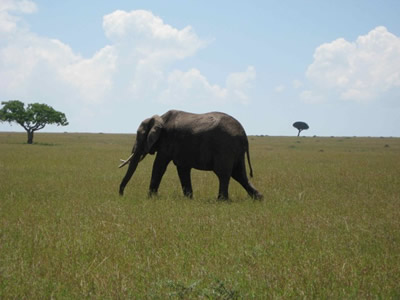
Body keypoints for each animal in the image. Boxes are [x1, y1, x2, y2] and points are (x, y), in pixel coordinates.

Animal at [119, 109, 262, 200]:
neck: (160, 118)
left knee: (223, 174)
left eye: (140, 136)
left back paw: (221, 200)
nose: (121, 195)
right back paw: (259, 198)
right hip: (236, 151)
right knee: (239, 174)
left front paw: (150, 198)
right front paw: (189, 199)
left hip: (225, 148)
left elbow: (159, 166)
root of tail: (244, 134)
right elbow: (182, 169)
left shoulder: (167, 141)